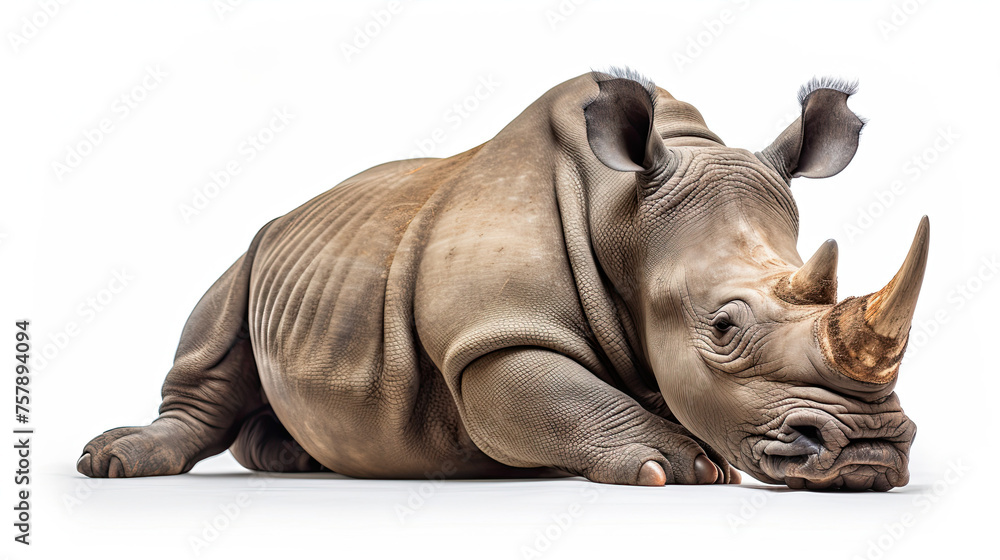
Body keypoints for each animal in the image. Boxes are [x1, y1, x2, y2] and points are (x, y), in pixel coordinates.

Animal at [78, 68, 926, 491]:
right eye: (722, 327)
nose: (870, 450)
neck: (627, 219)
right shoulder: (489, 333)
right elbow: (549, 390)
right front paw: (679, 466)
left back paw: (293, 458)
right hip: (254, 250)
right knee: (214, 323)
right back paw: (114, 462)